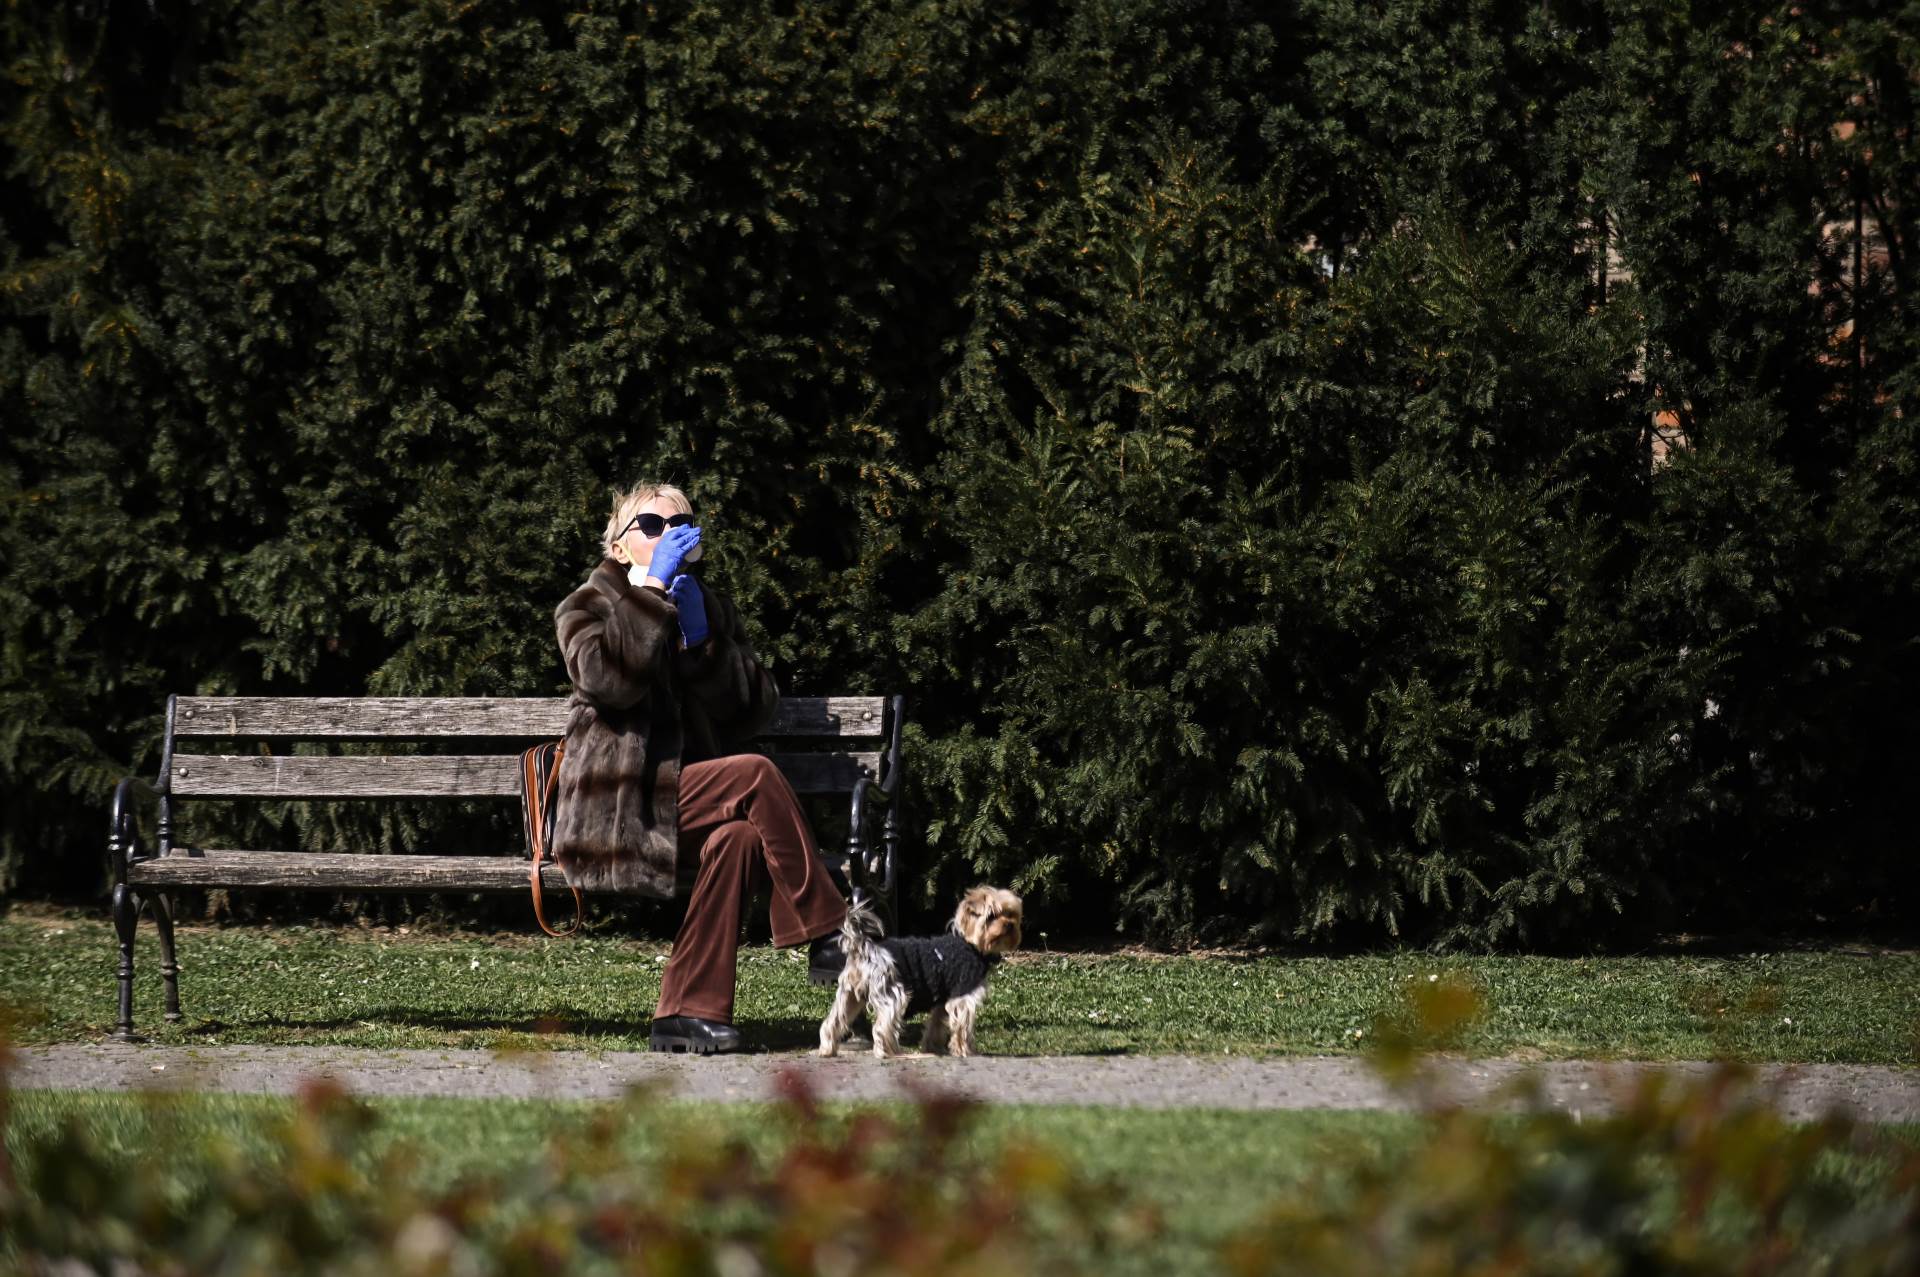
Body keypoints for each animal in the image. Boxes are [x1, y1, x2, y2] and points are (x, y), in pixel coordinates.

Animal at [814, 887, 1021, 1052]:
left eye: (1011, 914)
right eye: (992, 916)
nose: (1009, 925)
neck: (970, 944)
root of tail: (864, 947)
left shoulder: (943, 997)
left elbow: (936, 1023)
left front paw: (932, 1047)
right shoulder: (963, 992)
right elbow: (963, 1026)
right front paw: (965, 1050)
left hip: (849, 994)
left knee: (833, 1022)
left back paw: (827, 1050)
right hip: (892, 990)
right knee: (881, 1026)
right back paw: (889, 1051)